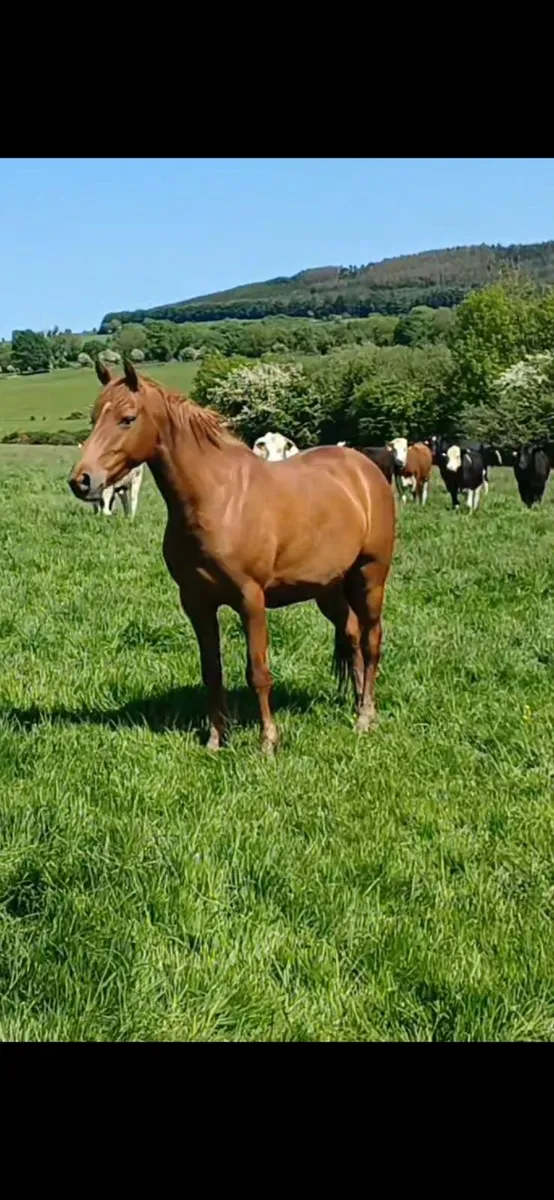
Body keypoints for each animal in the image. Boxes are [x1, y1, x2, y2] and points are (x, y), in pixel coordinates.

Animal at [69, 359, 396, 753]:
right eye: (94, 417)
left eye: (127, 418)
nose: (82, 480)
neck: (217, 497)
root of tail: (365, 469)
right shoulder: (196, 602)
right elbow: (212, 671)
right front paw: (215, 739)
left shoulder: (250, 600)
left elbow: (258, 672)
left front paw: (268, 742)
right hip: (328, 588)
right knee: (352, 637)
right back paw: (360, 705)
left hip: (369, 577)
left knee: (371, 640)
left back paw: (365, 717)